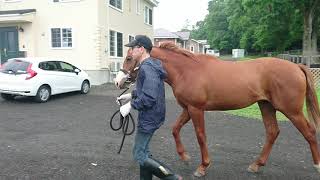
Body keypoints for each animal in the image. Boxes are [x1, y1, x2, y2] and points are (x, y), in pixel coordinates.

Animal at [114, 42, 320, 177]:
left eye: (129, 58)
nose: (118, 81)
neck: (186, 70)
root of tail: (297, 66)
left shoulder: (196, 109)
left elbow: (201, 136)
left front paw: (203, 167)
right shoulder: (188, 108)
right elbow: (175, 129)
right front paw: (185, 156)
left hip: (291, 110)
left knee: (309, 132)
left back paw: (317, 165)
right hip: (266, 106)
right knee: (272, 132)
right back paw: (256, 165)